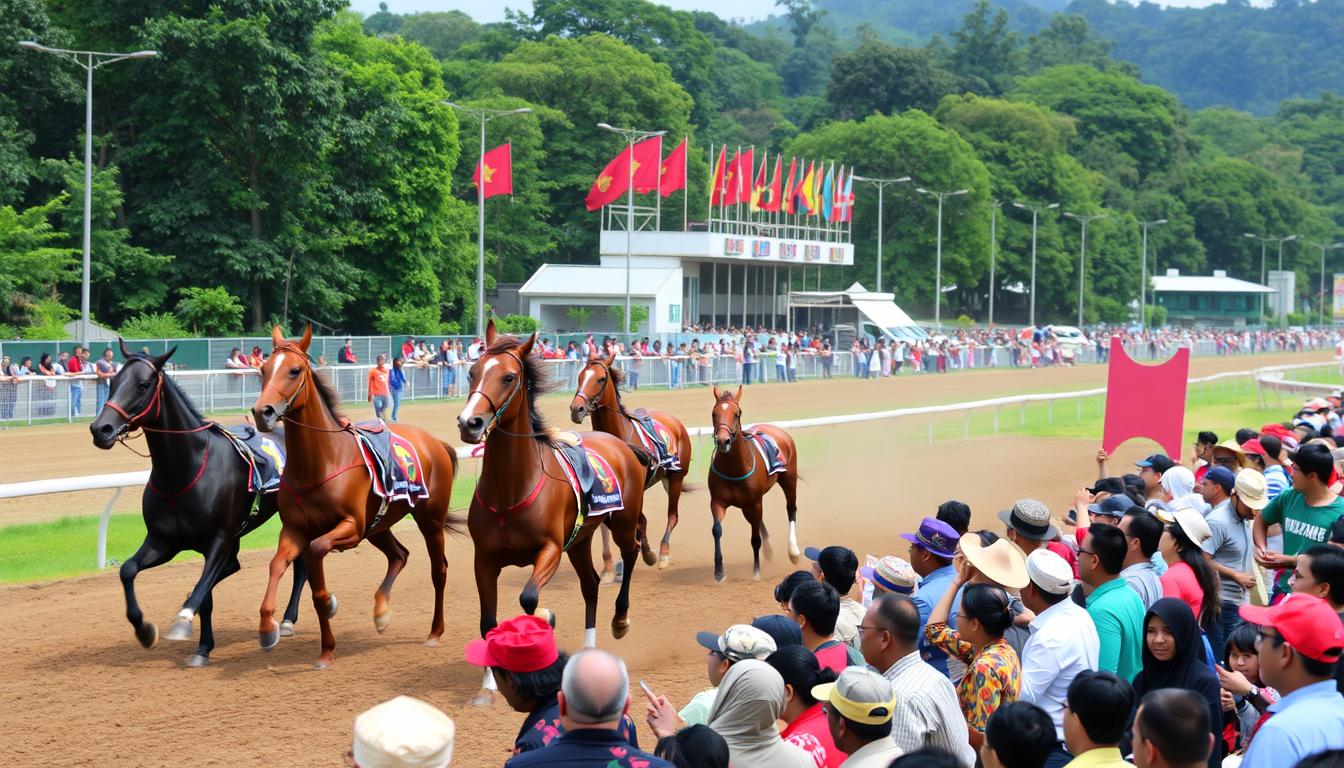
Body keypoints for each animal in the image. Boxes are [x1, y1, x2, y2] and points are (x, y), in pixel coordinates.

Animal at [90, 342, 306, 667]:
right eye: (112, 382)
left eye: (143, 385)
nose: (100, 429)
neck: (183, 472)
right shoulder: (163, 541)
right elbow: (128, 570)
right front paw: (146, 630)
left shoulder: (217, 540)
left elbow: (204, 591)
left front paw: (188, 629)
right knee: (233, 566)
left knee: (301, 563)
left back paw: (288, 620)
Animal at [249, 328, 459, 669]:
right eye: (263, 370)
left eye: (294, 370)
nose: (262, 412)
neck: (321, 461)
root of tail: (435, 442)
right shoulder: (295, 529)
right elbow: (278, 564)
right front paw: (270, 629)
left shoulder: (351, 527)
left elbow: (317, 558)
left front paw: (328, 621)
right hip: (379, 526)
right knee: (399, 555)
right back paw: (381, 612)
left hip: (429, 519)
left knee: (438, 570)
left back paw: (434, 632)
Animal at [456, 318, 655, 704]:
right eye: (473, 371)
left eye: (508, 377)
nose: (469, 423)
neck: (510, 488)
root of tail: (621, 444)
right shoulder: (483, 558)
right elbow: (488, 621)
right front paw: (488, 686)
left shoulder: (548, 549)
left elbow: (529, 598)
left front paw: (543, 626)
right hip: (580, 541)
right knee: (590, 584)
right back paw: (589, 650)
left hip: (622, 522)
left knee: (632, 551)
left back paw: (620, 619)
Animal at [567, 352, 693, 567]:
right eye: (580, 376)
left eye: (601, 378)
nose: (577, 409)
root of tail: (675, 422)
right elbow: (624, 524)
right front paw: (612, 563)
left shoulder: (636, 489)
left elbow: (639, 522)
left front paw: (648, 553)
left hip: (676, 476)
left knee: (672, 516)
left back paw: (663, 553)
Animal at [704, 384, 795, 583]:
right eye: (714, 413)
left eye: (737, 413)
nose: (723, 441)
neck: (734, 467)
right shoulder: (718, 501)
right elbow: (716, 530)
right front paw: (719, 571)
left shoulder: (755, 502)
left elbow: (755, 539)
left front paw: (756, 571)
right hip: (746, 505)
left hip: (789, 479)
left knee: (791, 509)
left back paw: (794, 552)